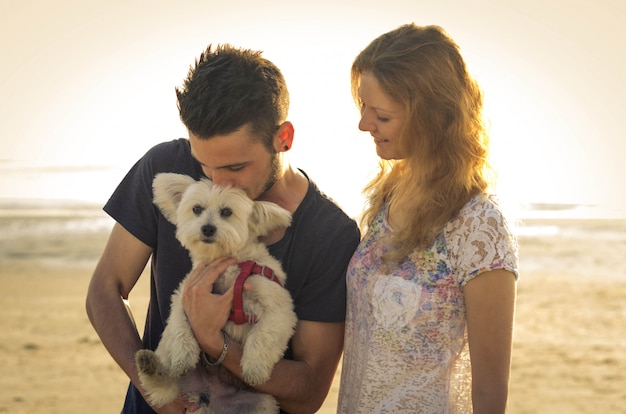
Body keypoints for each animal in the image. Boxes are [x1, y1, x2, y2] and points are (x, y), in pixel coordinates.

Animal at [135, 171, 296, 410]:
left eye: (226, 212)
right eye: (197, 209)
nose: (208, 228)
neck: (224, 265)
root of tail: (210, 400)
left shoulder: (279, 308)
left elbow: (262, 335)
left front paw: (254, 367)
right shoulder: (185, 294)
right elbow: (180, 325)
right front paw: (184, 355)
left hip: (263, 403)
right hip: (179, 380)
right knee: (165, 385)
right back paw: (150, 366)